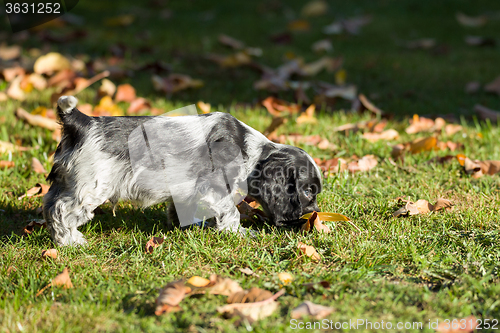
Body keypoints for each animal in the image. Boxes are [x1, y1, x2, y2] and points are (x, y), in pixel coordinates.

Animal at [44, 94, 324, 245]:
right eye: (308, 191)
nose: (314, 213)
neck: (251, 149)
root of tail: (82, 121)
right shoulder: (217, 188)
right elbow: (231, 213)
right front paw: (241, 234)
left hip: (65, 182)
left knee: (49, 206)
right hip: (90, 188)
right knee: (61, 212)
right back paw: (71, 242)